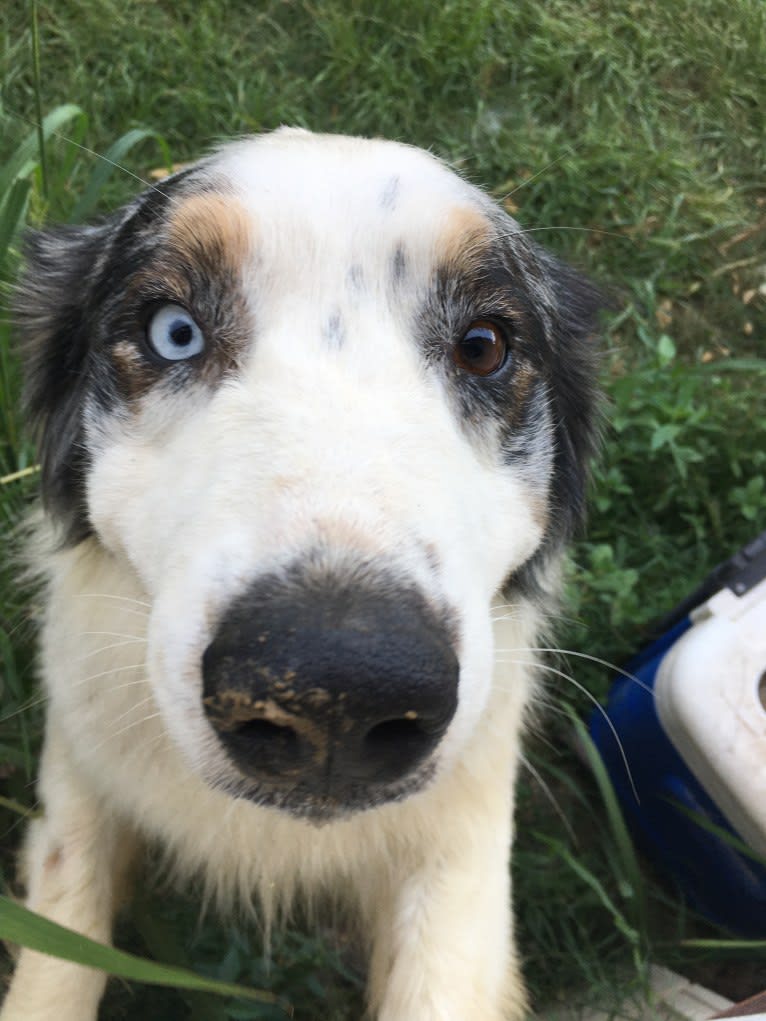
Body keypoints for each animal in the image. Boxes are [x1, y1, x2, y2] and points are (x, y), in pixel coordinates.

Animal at [1, 129, 600, 1021]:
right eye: (173, 331)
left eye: (485, 346)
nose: (336, 692)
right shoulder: (79, 767)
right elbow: (57, 953)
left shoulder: (462, 843)